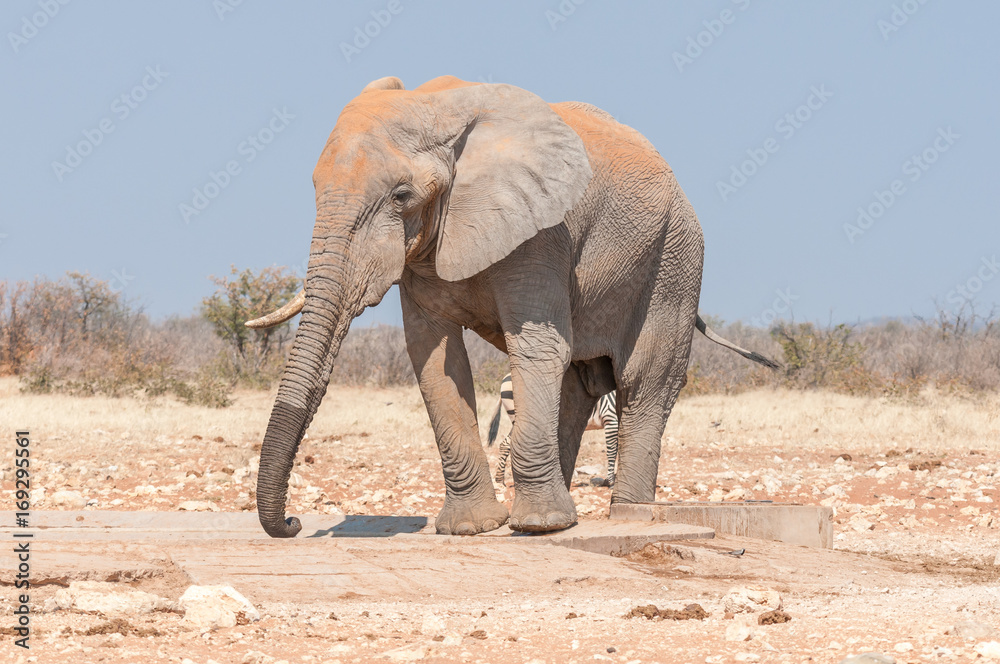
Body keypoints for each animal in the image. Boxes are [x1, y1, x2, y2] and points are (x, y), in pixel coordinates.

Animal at [246, 75, 778, 538]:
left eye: (401, 195)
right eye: (315, 191)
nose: (293, 523)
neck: (440, 110)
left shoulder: (542, 231)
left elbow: (537, 347)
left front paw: (538, 528)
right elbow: (435, 360)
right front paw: (473, 528)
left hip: (675, 260)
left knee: (644, 383)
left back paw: (625, 516)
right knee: (576, 385)